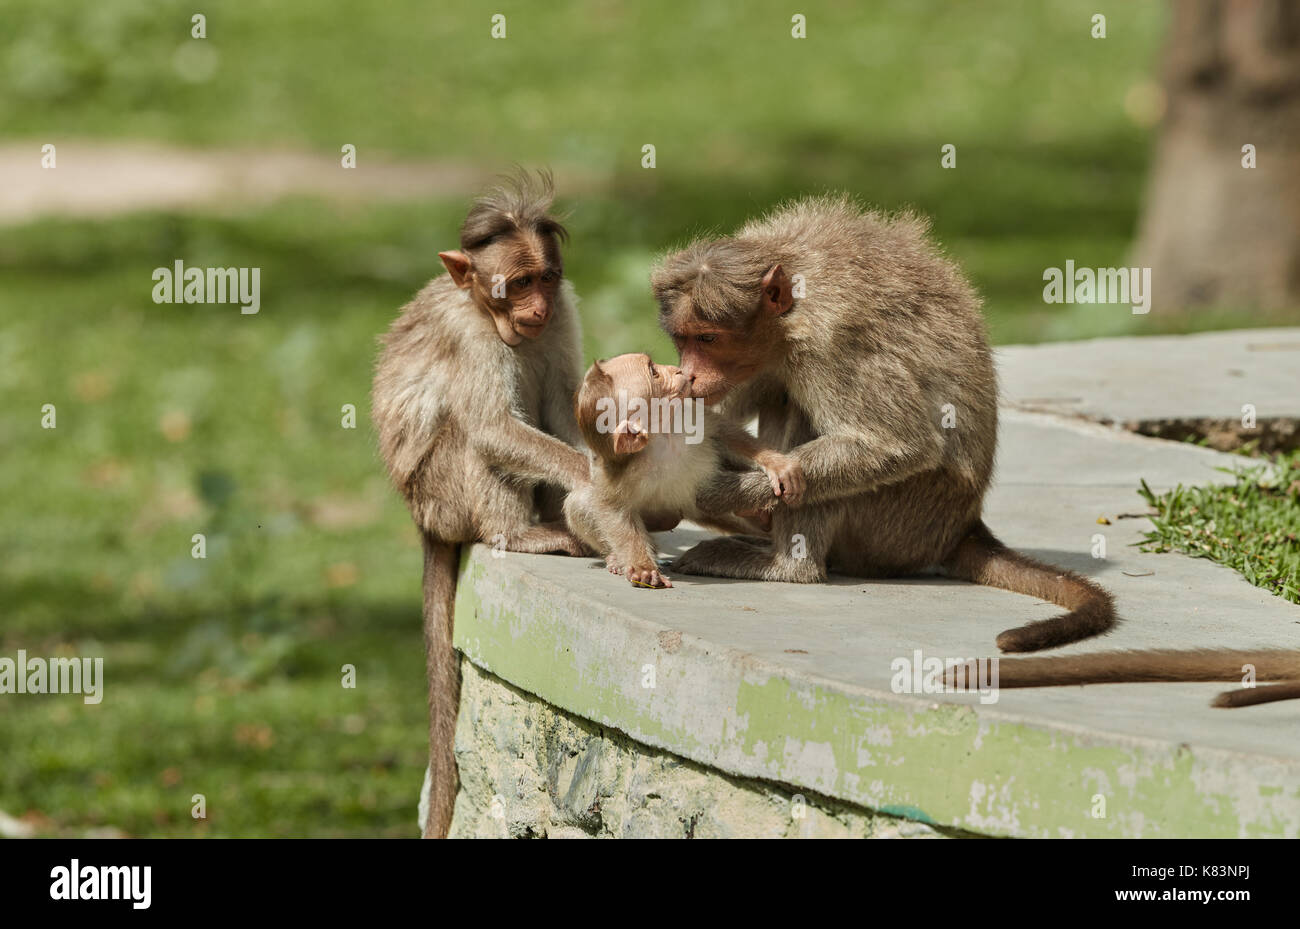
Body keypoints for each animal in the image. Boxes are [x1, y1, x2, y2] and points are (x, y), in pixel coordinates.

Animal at [369, 170, 587, 841]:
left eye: (545, 278)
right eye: (516, 284)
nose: (536, 309)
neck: (488, 315)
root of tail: (422, 521)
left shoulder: (566, 314)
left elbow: (566, 414)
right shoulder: (469, 337)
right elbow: (491, 429)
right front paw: (598, 480)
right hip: (443, 497)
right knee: (469, 431)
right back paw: (516, 533)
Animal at [566, 353, 800, 589]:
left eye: (654, 366)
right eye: (654, 372)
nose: (677, 370)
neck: (663, 435)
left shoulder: (690, 415)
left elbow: (724, 433)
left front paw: (776, 464)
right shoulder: (615, 470)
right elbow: (611, 507)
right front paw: (642, 567)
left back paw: (758, 515)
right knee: (578, 503)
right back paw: (616, 557)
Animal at [650, 198, 1118, 654]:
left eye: (708, 339)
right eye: (682, 339)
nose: (689, 374)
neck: (792, 305)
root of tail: (960, 527)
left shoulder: (830, 344)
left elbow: (898, 446)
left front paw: (716, 491)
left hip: (902, 522)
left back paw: (786, 565)